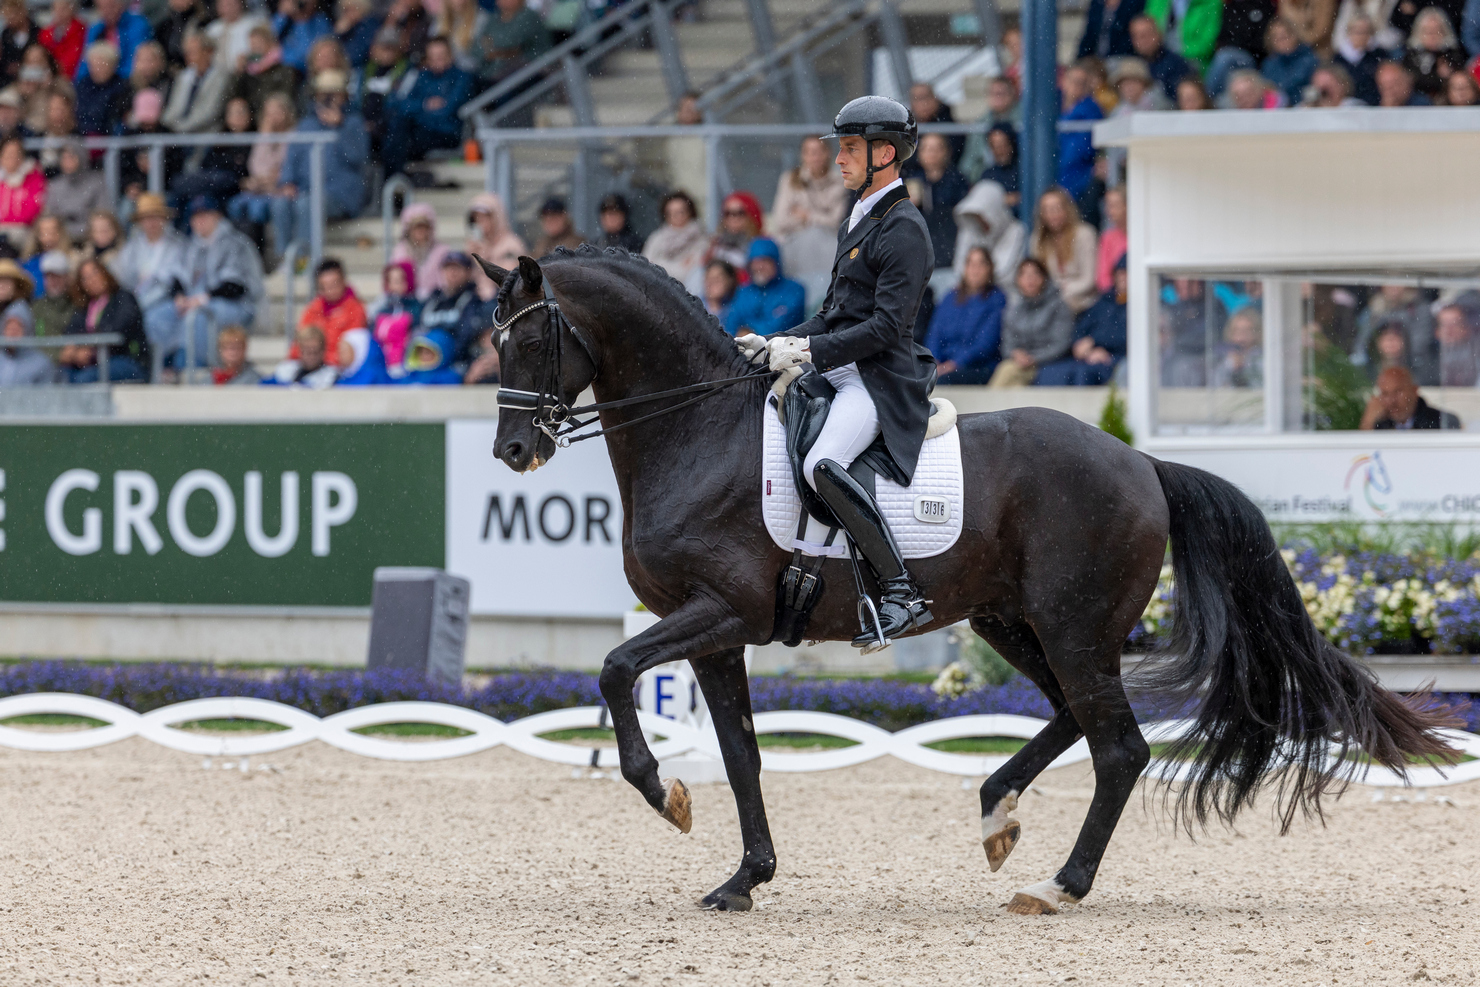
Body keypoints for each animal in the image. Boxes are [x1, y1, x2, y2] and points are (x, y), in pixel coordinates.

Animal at [478, 246, 1458, 915]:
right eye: (496, 342)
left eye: (533, 339)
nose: (515, 451)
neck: (698, 431)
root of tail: (1141, 461)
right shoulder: (719, 633)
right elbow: (742, 754)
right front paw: (743, 878)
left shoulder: (717, 611)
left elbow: (614, 671)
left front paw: (663, 794)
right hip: (1013, 621)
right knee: (1074, 718)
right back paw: (997, 816)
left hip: (1072, 625)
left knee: (1120, 746)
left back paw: (1060, 884)